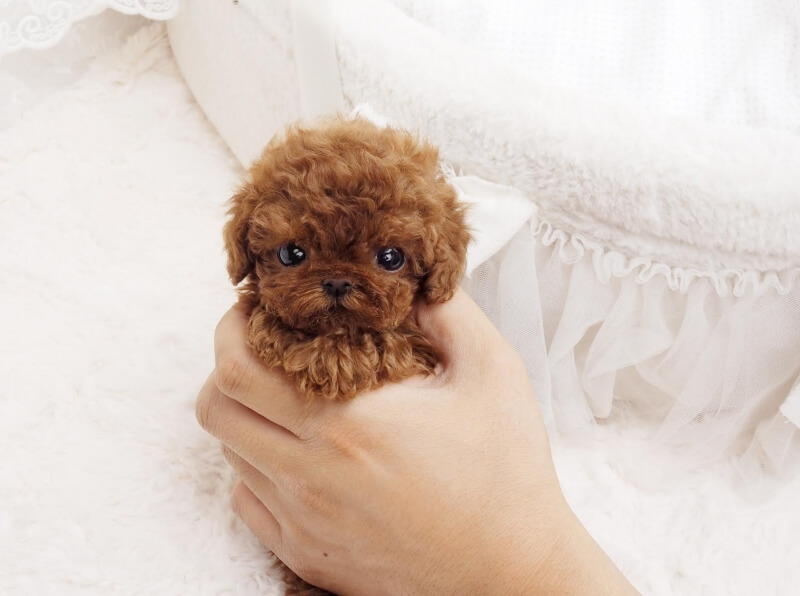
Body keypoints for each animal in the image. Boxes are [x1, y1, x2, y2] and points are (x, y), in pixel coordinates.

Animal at [222, 117, 468, 596]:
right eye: (291, 253)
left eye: (390, 257)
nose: (337, 281)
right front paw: (324, 353)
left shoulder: (414, 346)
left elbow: (385, 342)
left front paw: (339, 359)